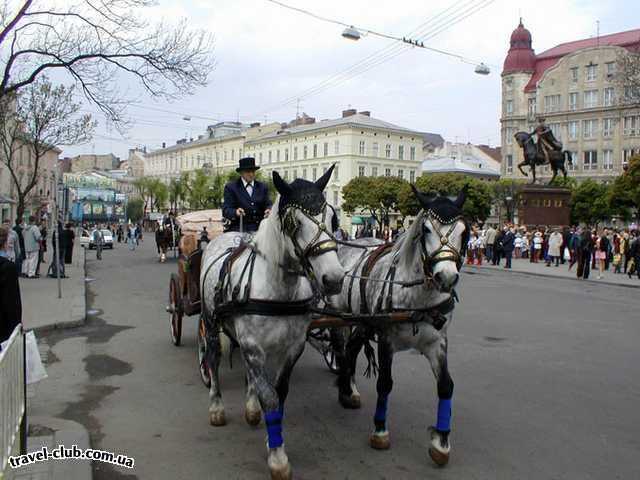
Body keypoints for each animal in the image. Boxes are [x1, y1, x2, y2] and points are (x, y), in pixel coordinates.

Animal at [201, 166, 344, 480]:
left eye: (332, 218)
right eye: (293, 222)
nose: (334, 279)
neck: (278, 288)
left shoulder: (291, 348)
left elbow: (279, 393)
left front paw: (271, 435)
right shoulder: (254, 346)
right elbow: (270, 397)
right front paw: (278, 457)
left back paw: (251, 408)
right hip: (211, 323)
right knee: (213, 359)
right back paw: (215, 406)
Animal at [330, 186, 470, 466]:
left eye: (463, 230)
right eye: (426, 229)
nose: (447, 277)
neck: (418, 297)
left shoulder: (437, 342)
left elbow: (446, 385)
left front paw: (441, 442)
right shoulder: (387, 339)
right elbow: (385, 383)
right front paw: (380, 430)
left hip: (362, 320)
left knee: (351, 350)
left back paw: (349, 390)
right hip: (341, 317)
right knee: (341, 351)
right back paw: (344, 386)